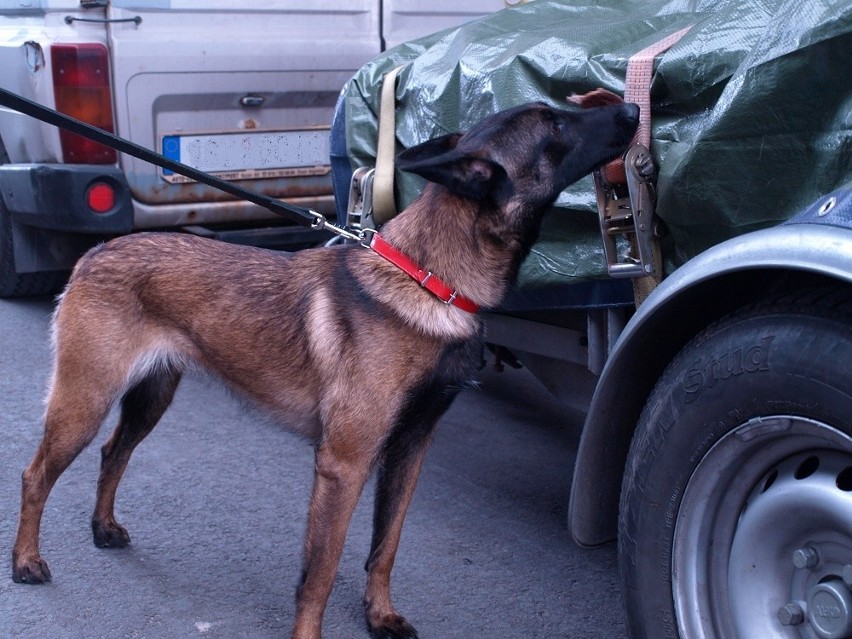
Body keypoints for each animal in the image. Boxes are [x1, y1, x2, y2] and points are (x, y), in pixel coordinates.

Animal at [11, 97, 640, 636]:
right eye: (553, 124)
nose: (633, 108)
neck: (433, 280)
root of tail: (98, 251)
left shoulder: (408, 452)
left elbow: (384, 548)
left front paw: (379, 615)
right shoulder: (344, 465)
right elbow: (322, 570)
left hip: (149, 398)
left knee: (113, 452)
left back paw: (102, 528)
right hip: (84, 400)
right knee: (36, 474)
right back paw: (26, 561)